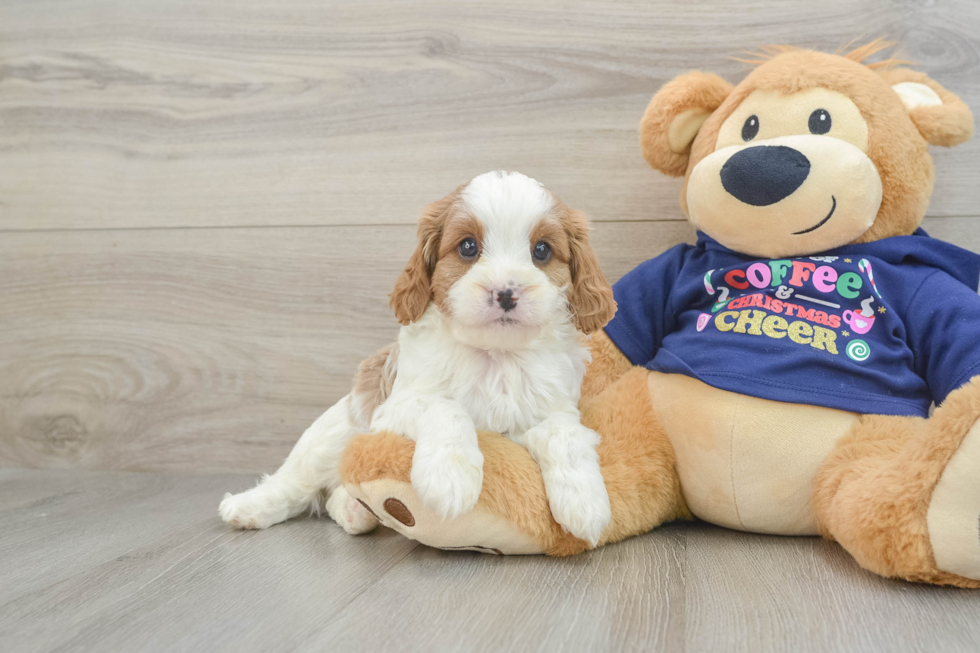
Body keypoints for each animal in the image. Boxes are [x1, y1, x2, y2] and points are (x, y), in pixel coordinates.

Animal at [224, 169, 620, 544]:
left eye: (542, 251)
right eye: (468, 246)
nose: (506, 293)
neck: (495, 355)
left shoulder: (550, 411)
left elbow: (564, 435)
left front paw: (586, 502)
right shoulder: (394, 407)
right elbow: (445, 408)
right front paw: (450, 477)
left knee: (335, 493)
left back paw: (356, 510)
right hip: (335, 432)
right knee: (297, 480)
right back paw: (248, 506)